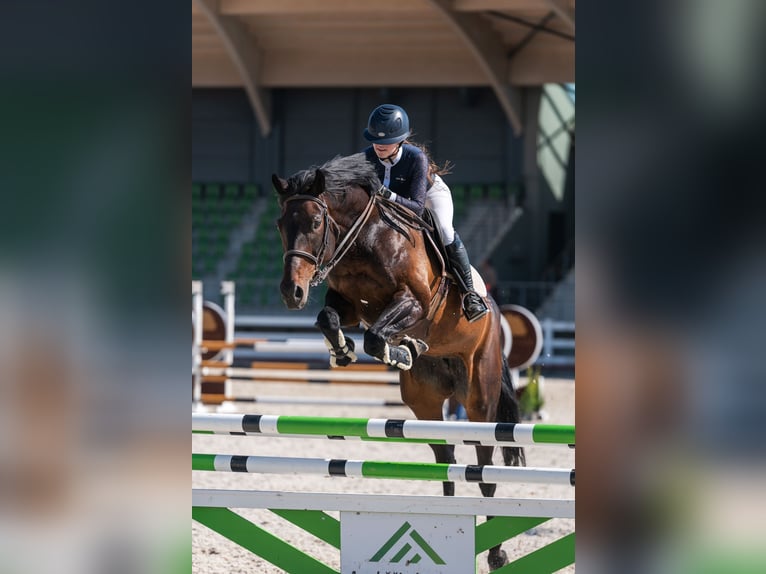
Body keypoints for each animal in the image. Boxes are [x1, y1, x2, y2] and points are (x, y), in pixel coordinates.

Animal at [274, 153, 528, 572]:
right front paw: (345, 351)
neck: (365, 240)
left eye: (314, 223)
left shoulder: (413, 302)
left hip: (480, 397)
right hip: (425, 404)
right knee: (446, 458)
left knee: (484, 466)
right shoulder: (350, 306)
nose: (291, 293)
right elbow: (328, 318)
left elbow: (377, 336)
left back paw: (496, 553)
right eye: (281, 224)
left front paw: (400, 349)